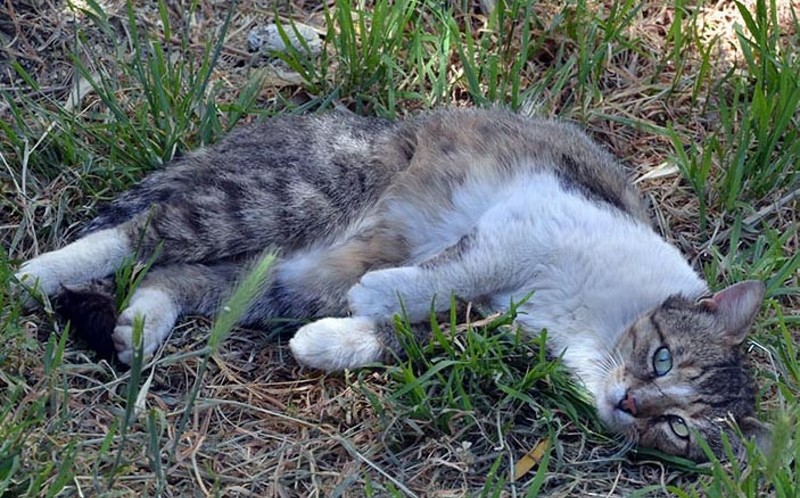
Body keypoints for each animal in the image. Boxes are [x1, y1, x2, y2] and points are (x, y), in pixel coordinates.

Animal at [15, 108, 772, 460]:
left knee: (179, 274)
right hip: (296, 196)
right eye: (664, 358)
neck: (596, 335)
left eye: (678, 428)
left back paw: (140, 324)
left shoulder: (494, 328)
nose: (631, 403)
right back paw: (38, 272)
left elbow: (411, 332)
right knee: (145, 230)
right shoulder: (526, 225)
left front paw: (330, 343)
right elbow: (449, 274)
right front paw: (379, 293)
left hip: (279, 276)